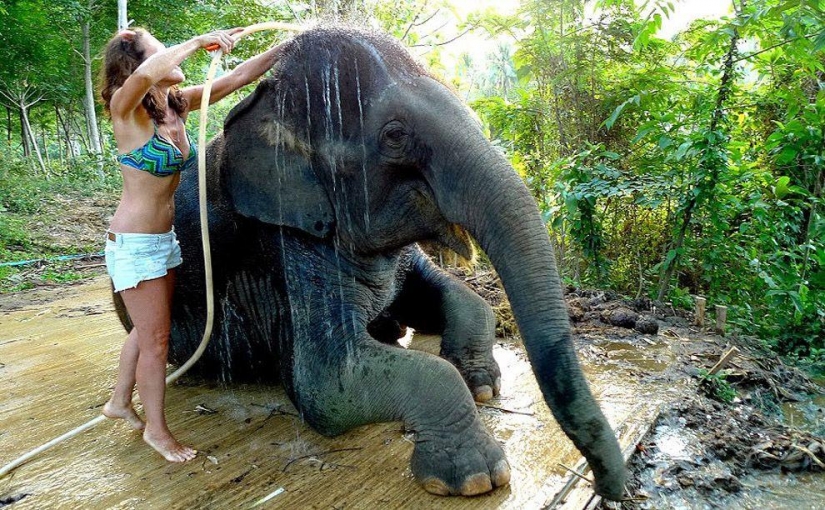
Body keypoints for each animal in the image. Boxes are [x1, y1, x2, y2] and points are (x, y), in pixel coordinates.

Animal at [116, 26, 626, 499]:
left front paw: (481, 383)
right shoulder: (286, 247)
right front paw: (476, 477)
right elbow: (324, 383)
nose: (609, 488)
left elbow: (461, 298)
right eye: (395, 136)